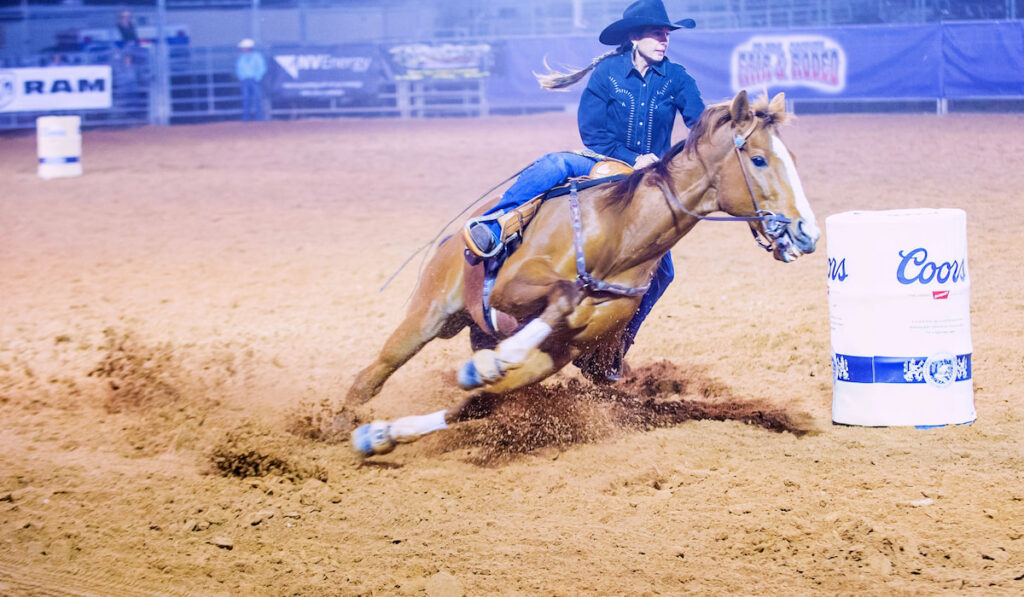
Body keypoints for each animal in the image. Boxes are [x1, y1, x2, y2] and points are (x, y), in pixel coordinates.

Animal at [339, 91, 819, 454]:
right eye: (758, 160)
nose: (807, 232)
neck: (616, 235)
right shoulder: (513, 286)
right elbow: (565, 294)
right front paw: (493, 363)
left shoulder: (559, 351)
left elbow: (482, 396)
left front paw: (482, 370)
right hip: (431, 314)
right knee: (372, 375)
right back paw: (339, 422)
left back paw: (376, 433)